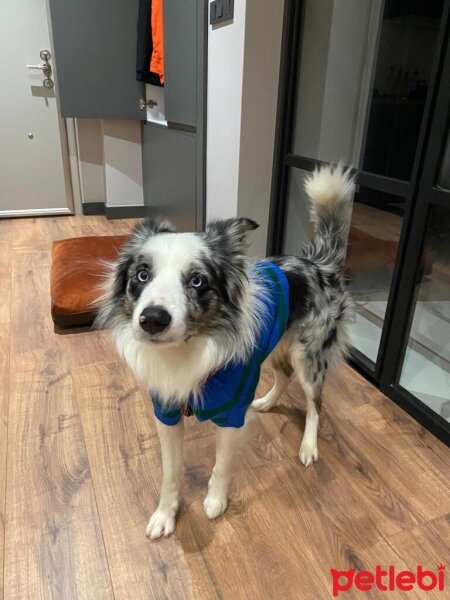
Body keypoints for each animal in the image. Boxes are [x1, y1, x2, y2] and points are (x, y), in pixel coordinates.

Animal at [96, 163, 356, 540]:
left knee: (315, 402)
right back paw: (266, 403)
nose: (152, 319)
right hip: (272, 346)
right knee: (283, 375)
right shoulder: (166, 412)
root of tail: (319, 264)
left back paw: (309, 446)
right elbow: (170, 473)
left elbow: (220, 465)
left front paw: (215, 501)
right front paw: (165, 514)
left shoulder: (232, 412)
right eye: (142, 275)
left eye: (197, 281)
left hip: (308, 354)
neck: (188, 348)